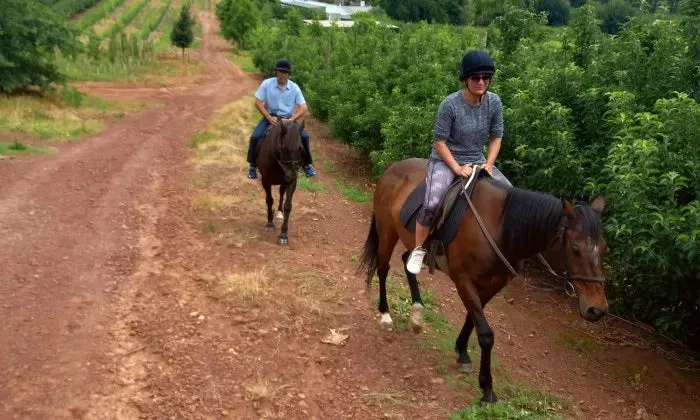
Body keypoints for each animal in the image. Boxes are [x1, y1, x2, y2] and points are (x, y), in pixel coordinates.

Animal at [358, 158, 608, 404]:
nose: (597, 309)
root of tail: (393, 166)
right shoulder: (464, 281)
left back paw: (417, 314)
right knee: (383, 268)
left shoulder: (494, 285)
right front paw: (487, 388)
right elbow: (486, 334)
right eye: (575, 248)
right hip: (387, 231)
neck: (501, 228)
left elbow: (472, 319)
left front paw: (462, 352)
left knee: (407, 263)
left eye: (604, 248)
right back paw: (385, 315)